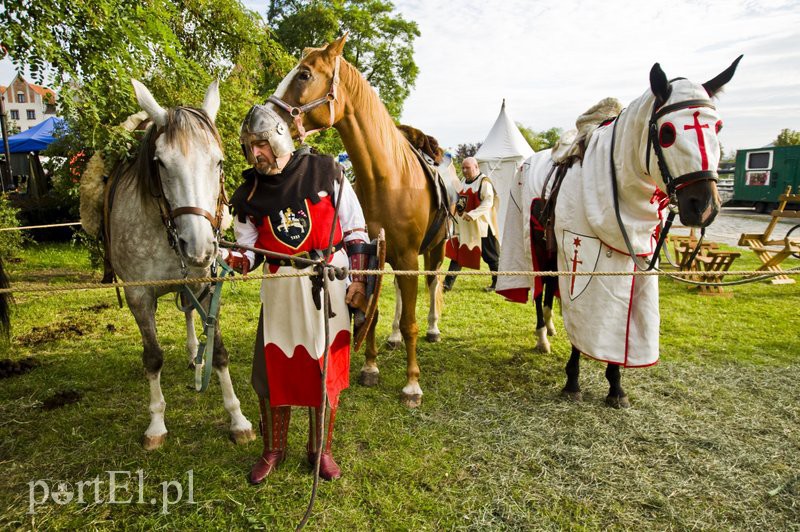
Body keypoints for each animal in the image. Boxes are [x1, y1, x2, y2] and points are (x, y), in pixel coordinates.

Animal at [108, 81, 253, 448]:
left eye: (219, 162)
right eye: (160, 162)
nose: (199, 246)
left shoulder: (206, 285)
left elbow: (218, 351)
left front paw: (238, 419)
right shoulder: (139, 296)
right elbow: (153, 357)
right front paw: (156, 424)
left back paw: (193, 356)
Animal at [268, 34, 444, 408]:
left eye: (304, 75)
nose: (263, 117)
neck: (387, 178)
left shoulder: (409, 257)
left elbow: (411, 321)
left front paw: (412, 385)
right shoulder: (372, 254)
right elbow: (372, 313)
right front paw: (371, 367)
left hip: (434, 251)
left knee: (433, 283)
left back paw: (434, 329)